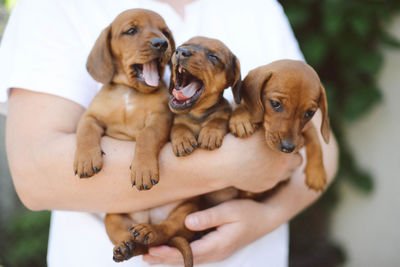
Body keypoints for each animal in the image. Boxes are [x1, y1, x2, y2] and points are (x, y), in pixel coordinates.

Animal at [230, 59, 330, 192]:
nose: (287, 148)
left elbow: (315, 141)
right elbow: (240, 105)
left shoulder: (307, 128)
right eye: (275, 104)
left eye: (309, 113)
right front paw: (240, 118)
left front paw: (316, 173)